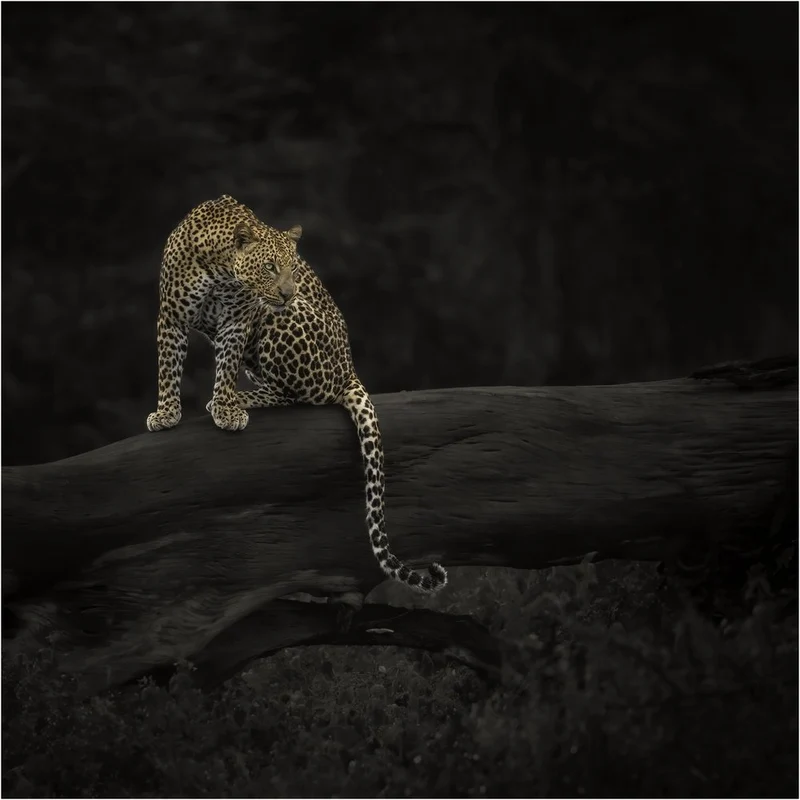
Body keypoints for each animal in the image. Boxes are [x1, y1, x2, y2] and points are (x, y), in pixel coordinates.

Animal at [146, 194, 447, 596]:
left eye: (292, 268)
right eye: (271, 267)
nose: (288, 293)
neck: (220, 268)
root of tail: (348, 368)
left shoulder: (239, 320)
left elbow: (225, 367)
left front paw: (225, 406)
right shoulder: (172, 316)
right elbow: (168, 366)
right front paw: (166, 412)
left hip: (278, 322)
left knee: (298, 396)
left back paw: (241, 399)